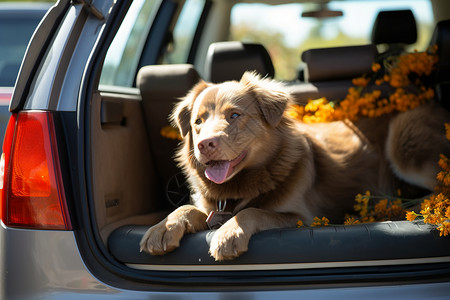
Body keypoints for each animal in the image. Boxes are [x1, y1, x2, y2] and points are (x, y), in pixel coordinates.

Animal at [141, 71, 450, 262]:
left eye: (235, 115)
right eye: (198, 121)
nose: (205, 144)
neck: (239, 188)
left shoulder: (302, 217)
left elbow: (254, 211)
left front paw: (229, 232)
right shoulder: (211, 208)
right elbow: (188, 209)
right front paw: (163, 227)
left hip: (404, 141)